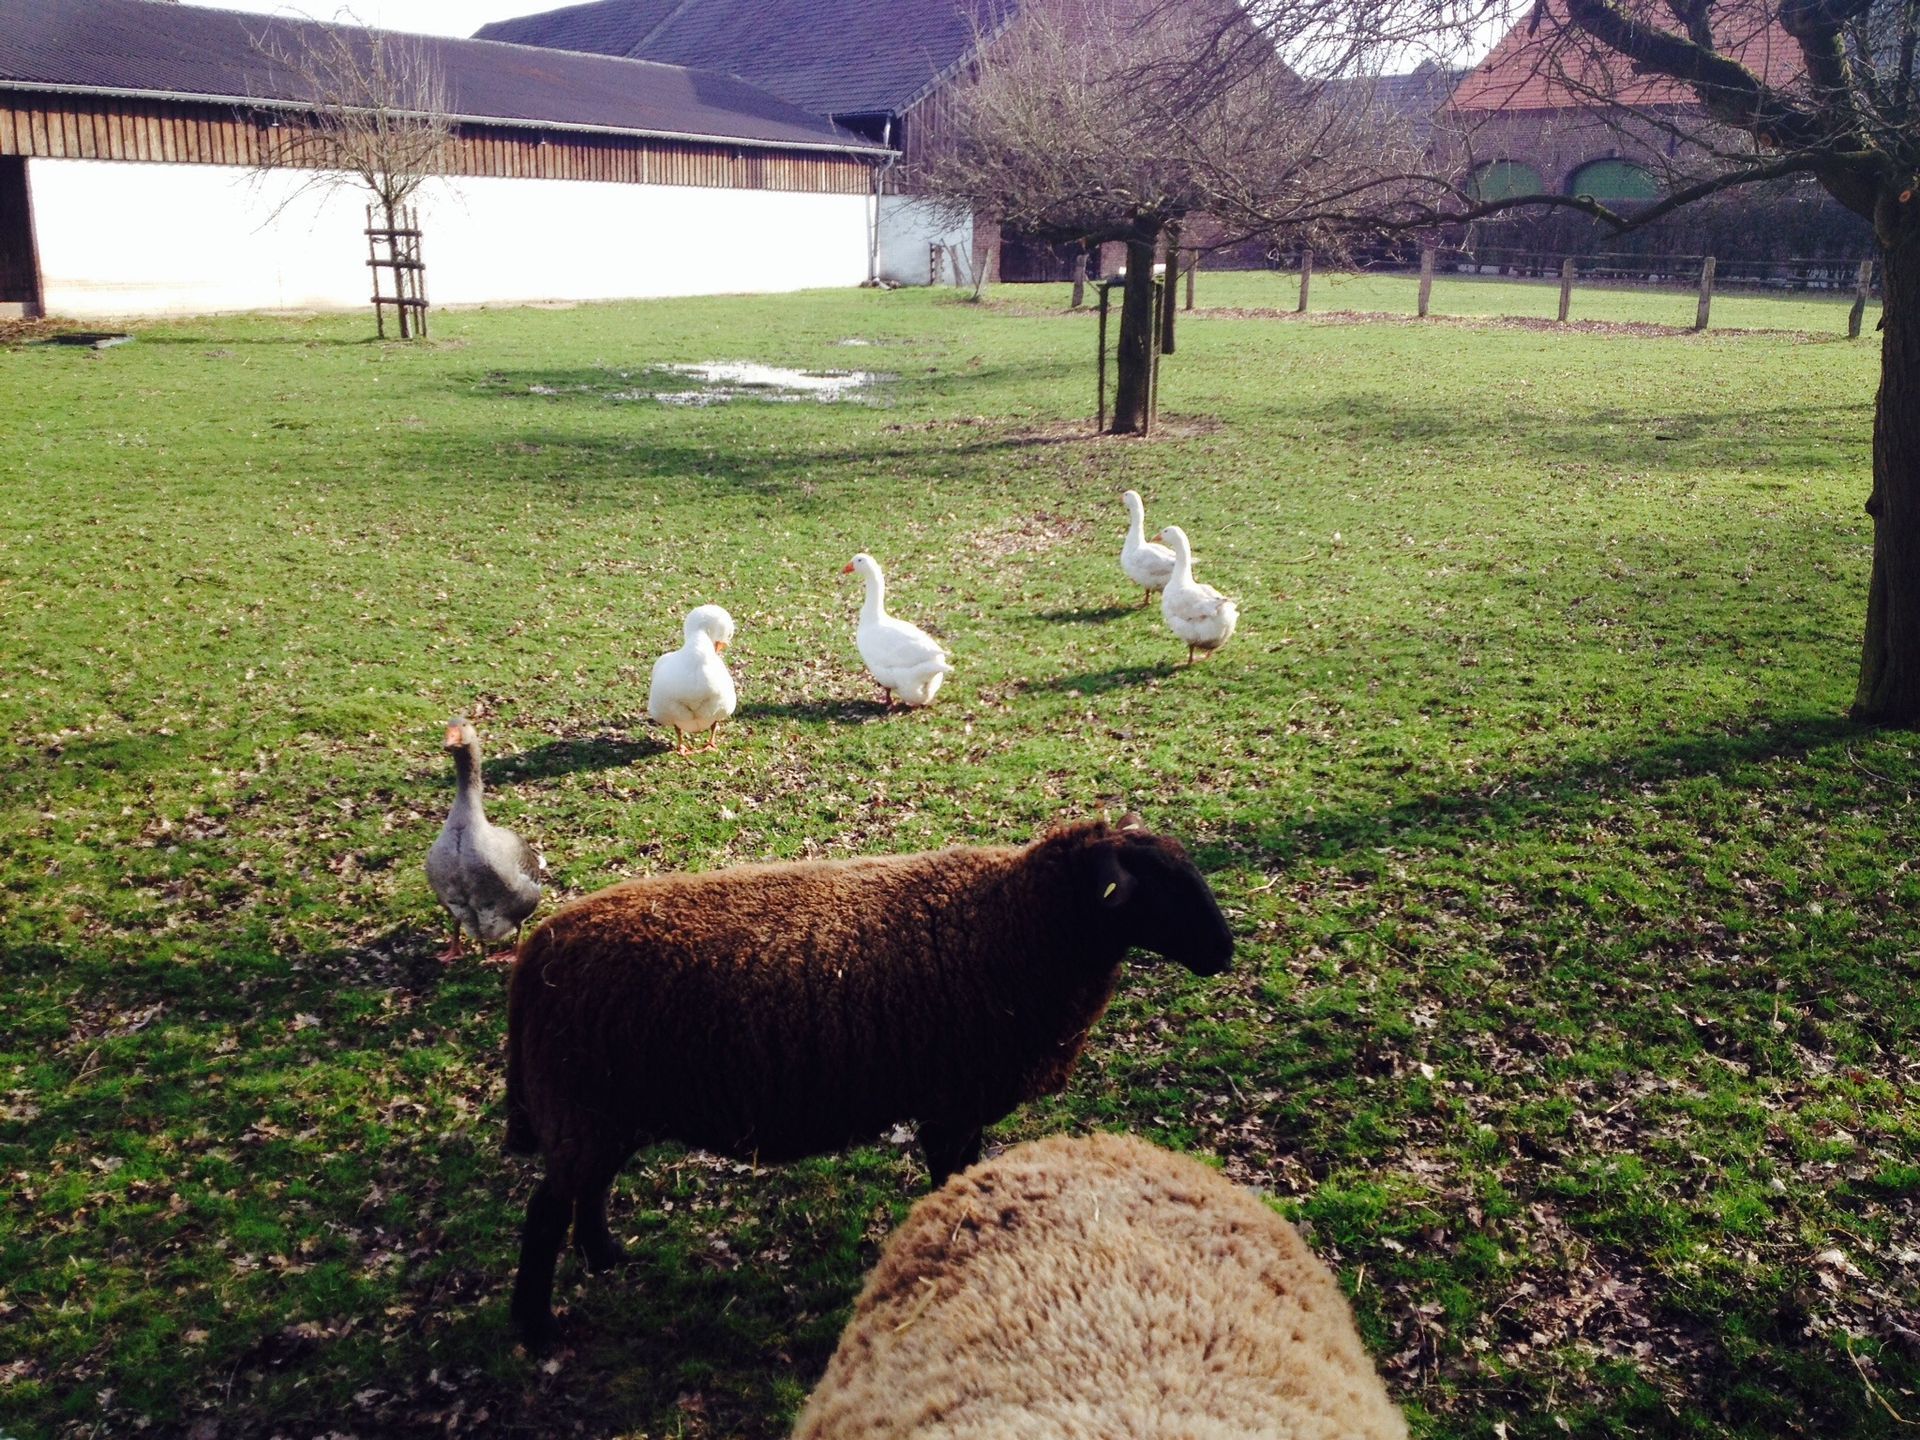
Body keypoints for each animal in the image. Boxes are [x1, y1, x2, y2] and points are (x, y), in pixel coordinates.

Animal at [502, 816, 1234, 1345]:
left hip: (602, 1113)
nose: (1224, 952)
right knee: (544, 1212)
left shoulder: (961, 1103)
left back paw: (605, 1256)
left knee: (586, 1190)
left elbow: (968, 1174)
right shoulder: (950, 1104)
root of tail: (538, 951)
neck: (1017, 924)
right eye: (1156, 885)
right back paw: (538, 1331)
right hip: (582, 1107)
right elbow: (951, 1179)